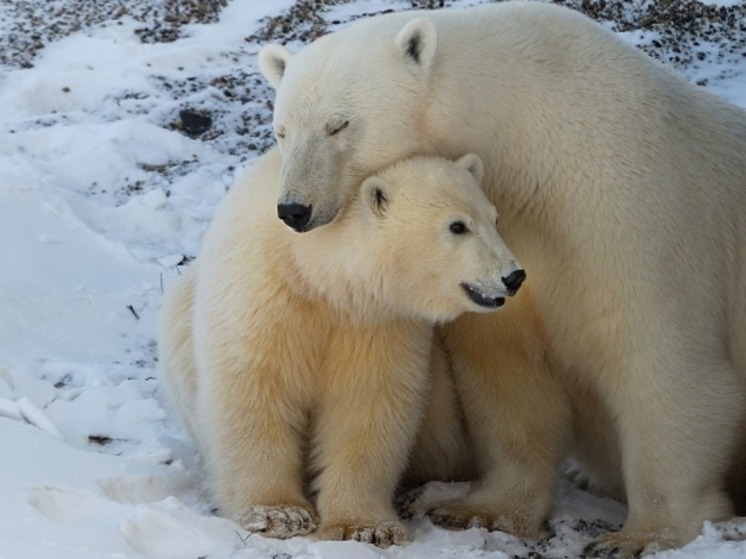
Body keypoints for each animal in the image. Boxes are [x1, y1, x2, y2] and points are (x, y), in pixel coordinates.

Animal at [258, 2, 744, 556]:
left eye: (338, 124)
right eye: (281, 130)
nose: (294, 209)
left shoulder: (633, 210)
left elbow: (664, 363)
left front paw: (642, 535)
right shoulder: (514, 239)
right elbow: (506, 369)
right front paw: (480, 510)